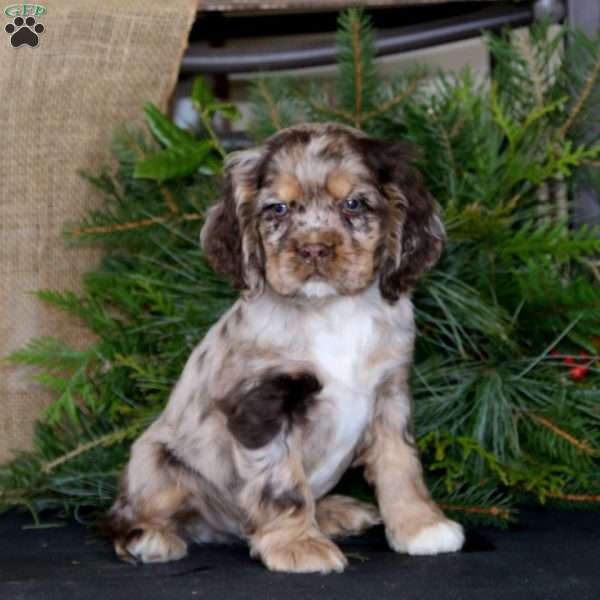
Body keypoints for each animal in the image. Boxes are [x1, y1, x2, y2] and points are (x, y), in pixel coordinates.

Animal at [103, 120, 464, 572]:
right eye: (277, 209)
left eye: (354, 204)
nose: (314, 248)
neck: (332, 311)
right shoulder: (262, 402)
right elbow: (281, 482)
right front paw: (298, 545)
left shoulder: (390, 393)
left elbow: (401, 463)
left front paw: (421, 526)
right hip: (155, 460)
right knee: (122, 512)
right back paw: (149, 537)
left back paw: (335, 511)